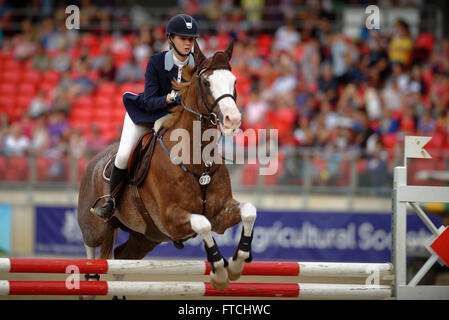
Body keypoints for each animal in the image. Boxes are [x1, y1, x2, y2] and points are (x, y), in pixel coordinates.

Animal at [77, 39, 256, 298]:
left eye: (234, 81)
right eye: (206, 82)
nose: (233, 120)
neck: (197, 160)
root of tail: (93, 161)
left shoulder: (220, 214)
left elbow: (249, 211)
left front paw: (236, 264)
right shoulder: (171, 218)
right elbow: (202, 223)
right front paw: (220, 273)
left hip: (146, 236)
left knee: (121, 258)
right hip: (97, 226)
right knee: (91, 249)